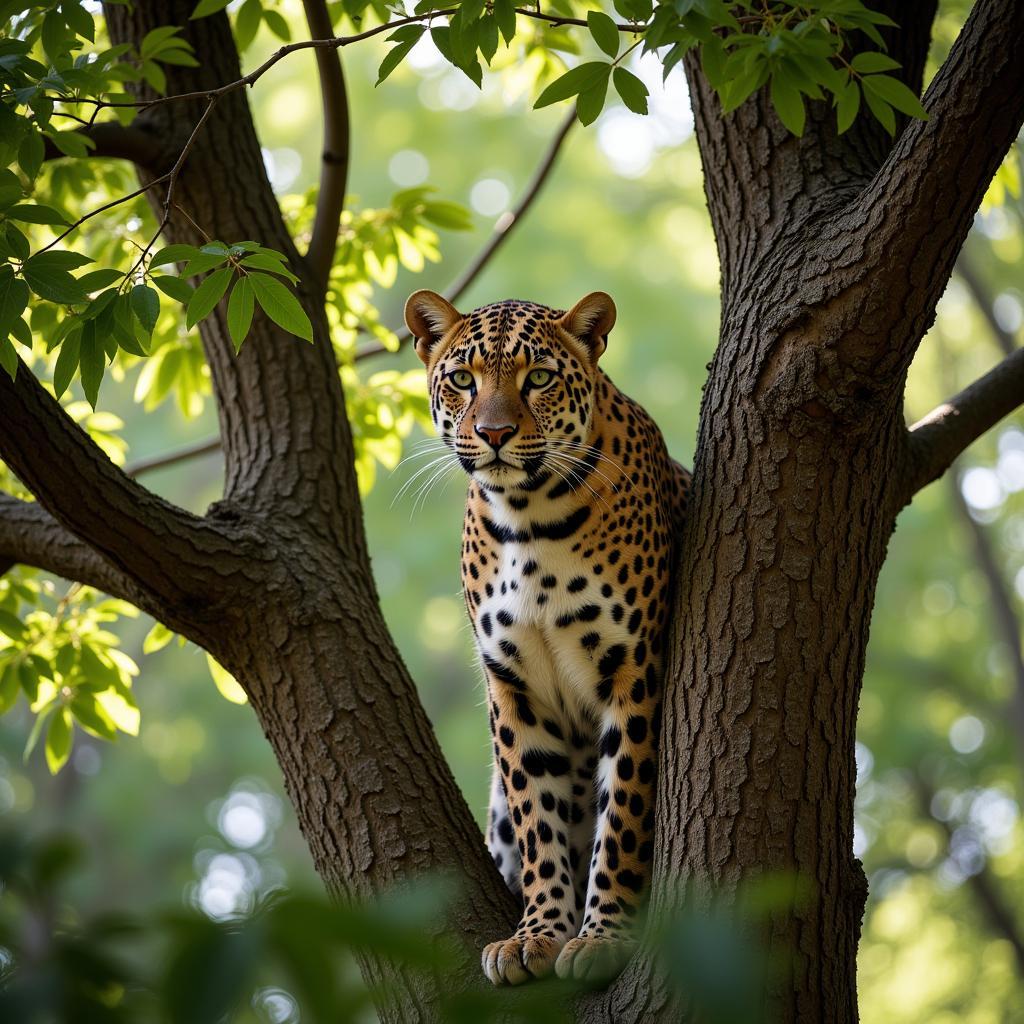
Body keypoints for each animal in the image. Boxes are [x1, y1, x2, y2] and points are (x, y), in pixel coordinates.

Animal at [403, 286, 692, 983]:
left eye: (538, 379)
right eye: (463, 380)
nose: (494, 434)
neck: (528, 521)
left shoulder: (634, 668)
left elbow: (624, 813)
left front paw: (602, 936)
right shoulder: (514, 685)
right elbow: (537, 813)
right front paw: (536, 934)